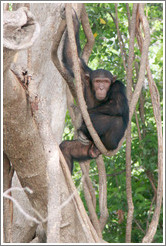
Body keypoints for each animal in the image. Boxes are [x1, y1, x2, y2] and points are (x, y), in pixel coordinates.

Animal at [59, 10, 129, 173]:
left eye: (106, 82)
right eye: (97, 81)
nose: (102, 88)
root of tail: (96, 150)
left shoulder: (118, 86)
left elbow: (117, 105)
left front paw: (81, 116)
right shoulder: (84, 74)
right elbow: (72, 58)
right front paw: (73, 19)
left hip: (110, 144)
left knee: (114, 119)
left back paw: (83, 128)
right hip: (86, 149)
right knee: (66, 148)